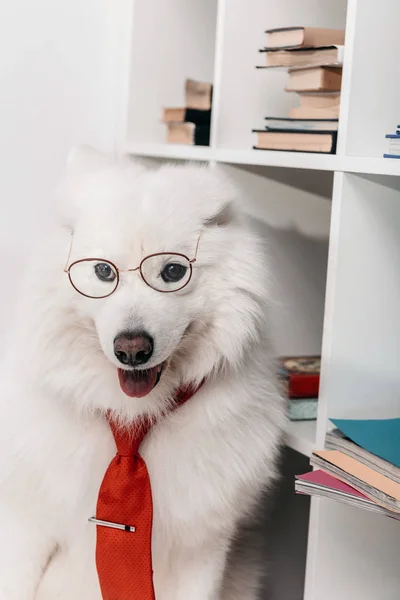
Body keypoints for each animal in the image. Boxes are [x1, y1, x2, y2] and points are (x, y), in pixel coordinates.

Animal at [0, 146, 284, 600]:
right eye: (103, 272)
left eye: (173, 272)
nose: (131, 349)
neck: (132, 424)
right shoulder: (24, 526)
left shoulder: (203, 547)